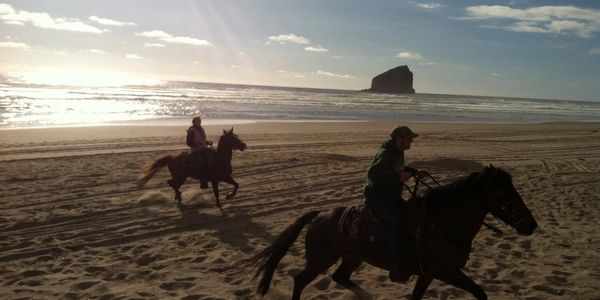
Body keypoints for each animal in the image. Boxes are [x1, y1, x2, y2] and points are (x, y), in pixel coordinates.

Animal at [250, 165, 540, 298]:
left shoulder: (428, 274)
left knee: (340, 277)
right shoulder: (445, 271)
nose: (530, 224)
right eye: (502, 192)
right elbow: (479, 292)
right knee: (301, 280)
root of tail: (321, 214)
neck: (442, 223)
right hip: (321, 259)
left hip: (352, 257)